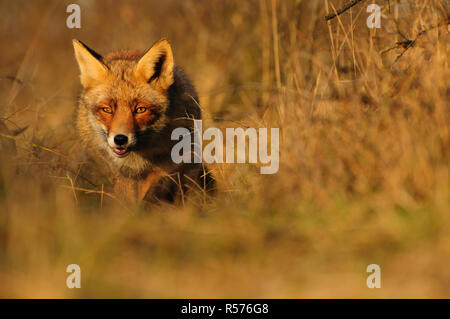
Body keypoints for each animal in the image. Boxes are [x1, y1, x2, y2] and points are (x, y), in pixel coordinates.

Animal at [73, 38, 214, 204]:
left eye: (140, 109)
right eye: (107, 109)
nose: (120, 139)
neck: (139, 159)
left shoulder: (173, 162)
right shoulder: (123, 173)